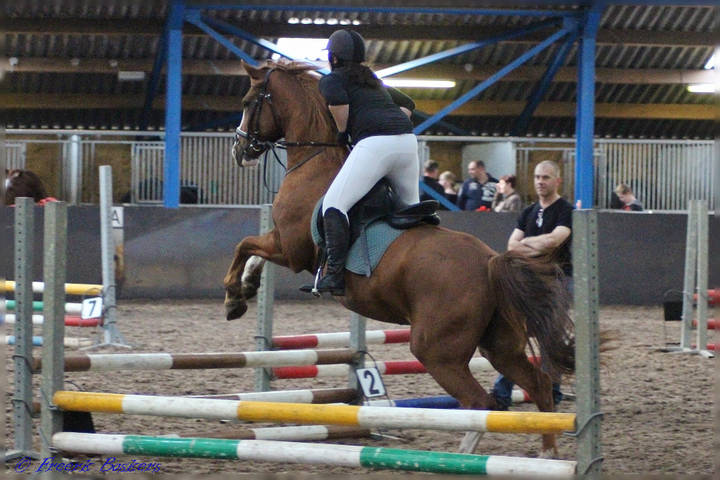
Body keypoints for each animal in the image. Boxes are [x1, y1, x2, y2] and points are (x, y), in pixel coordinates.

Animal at [225, 60, 575, 456]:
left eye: (248, 101)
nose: (239, 148)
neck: (313, 162)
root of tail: (489, 262)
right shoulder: (282, 243)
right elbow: (253, 253)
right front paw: (248, 287)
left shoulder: (290, 248)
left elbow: (245, 245)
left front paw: (234, 299)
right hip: (499, 345)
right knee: (538, 383)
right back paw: (546, 453)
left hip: (436, 350)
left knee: (479, 402)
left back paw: (459, 459)